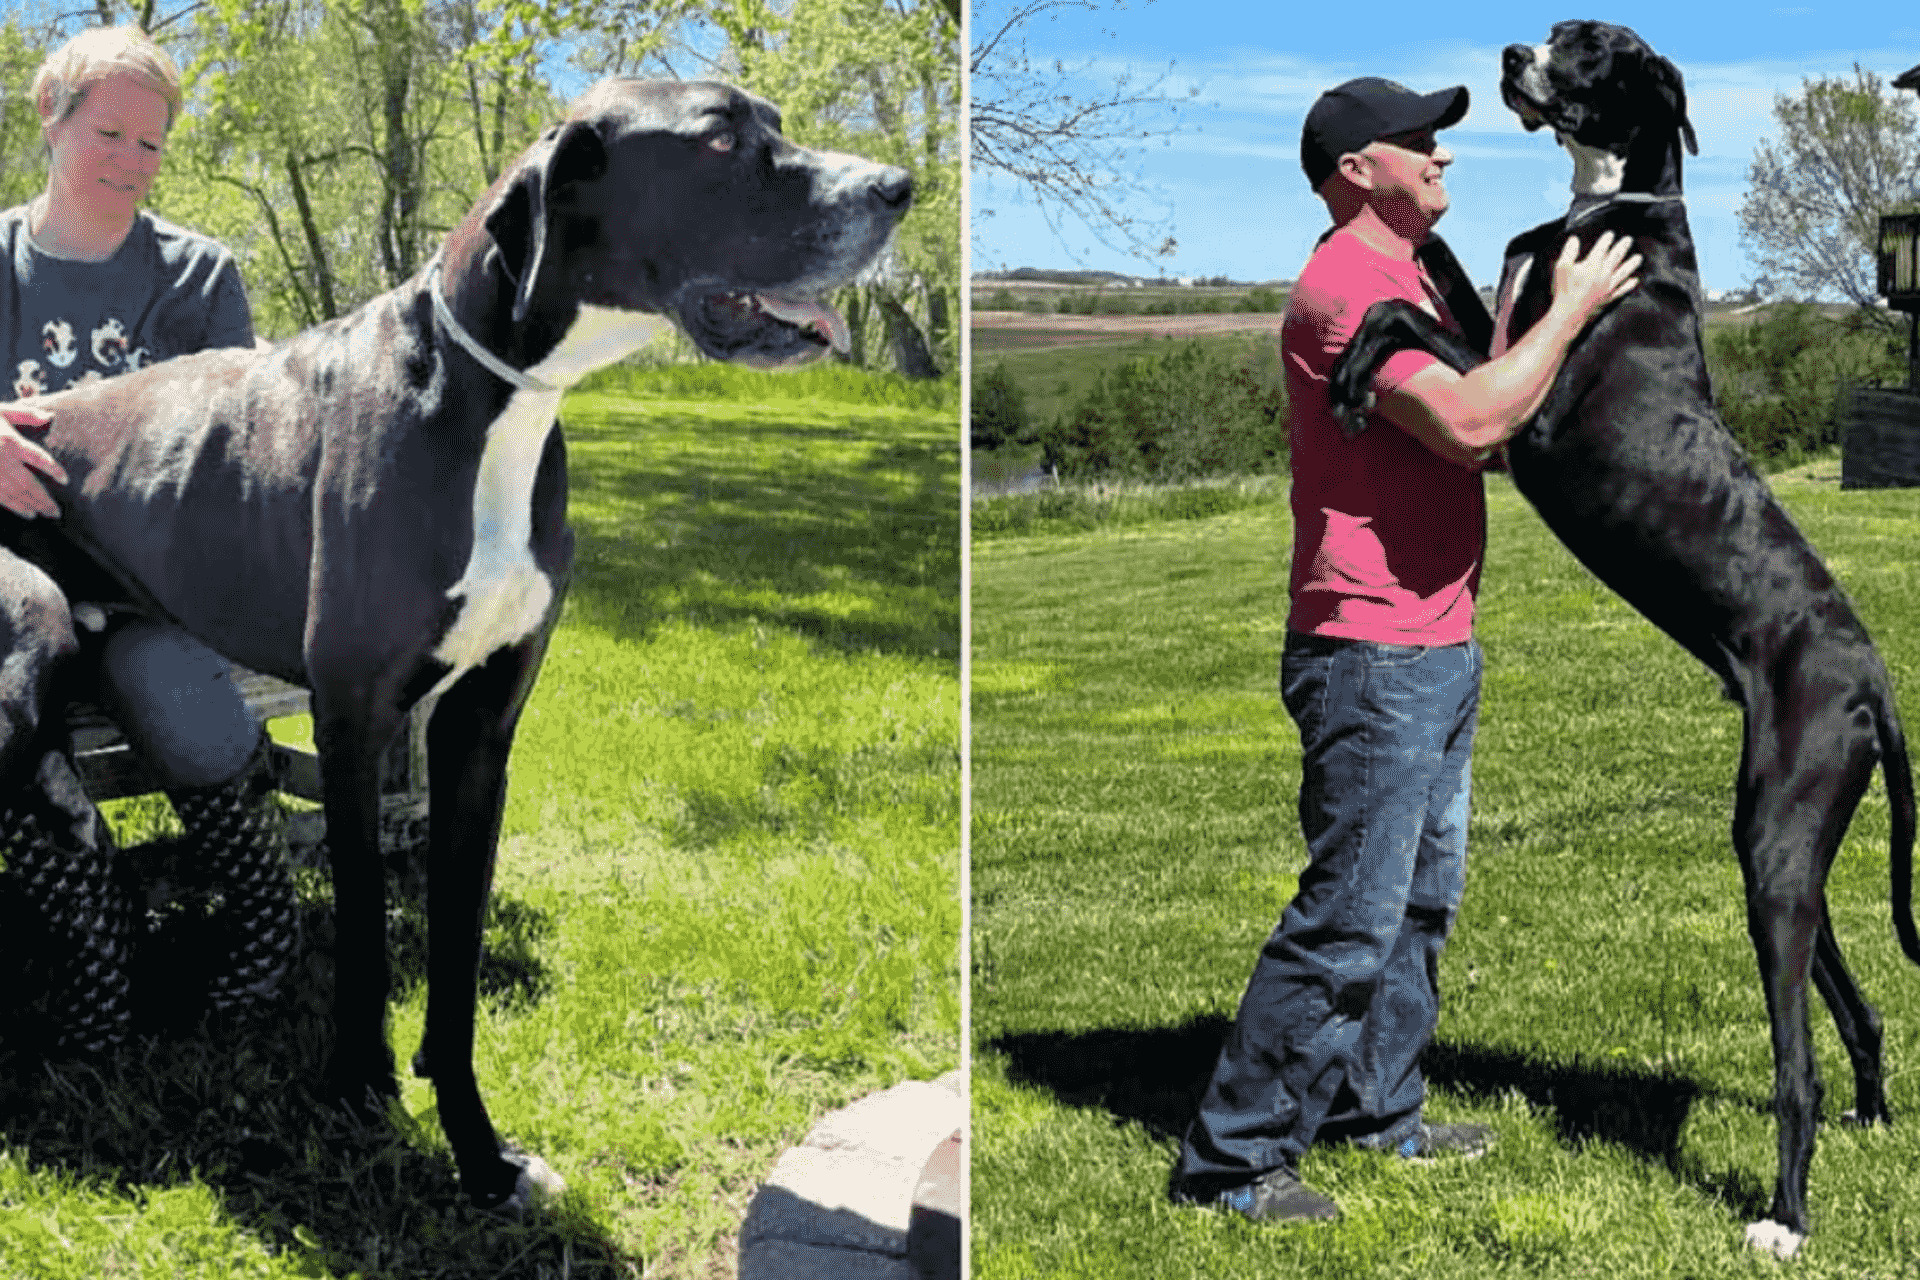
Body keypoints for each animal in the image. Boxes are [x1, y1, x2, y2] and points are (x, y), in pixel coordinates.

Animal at [0, 75, 910, 1220]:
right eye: (716, 137)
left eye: (777, 122)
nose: (898, 188)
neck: (500, 395)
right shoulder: (354, 720)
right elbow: (363, 937)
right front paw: (361, 1090)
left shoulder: (479, 729)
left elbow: (457, 960)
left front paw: (480, 1150)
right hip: (24, 620)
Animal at [1328, 20, 1920, 1258]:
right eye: (1559, 34)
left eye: (1594, 50)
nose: (1514, 49)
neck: (1610, 201)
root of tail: (1875, 678)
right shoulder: (1501, 339)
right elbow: (1437, 283)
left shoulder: (1527, 420)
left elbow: (1408, 318)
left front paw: (1357, 369)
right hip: (1782, 836)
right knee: (1854, 994)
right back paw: (1874, 1107)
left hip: (1779, 843)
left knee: (1793, 1062)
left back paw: (1786, 1216)